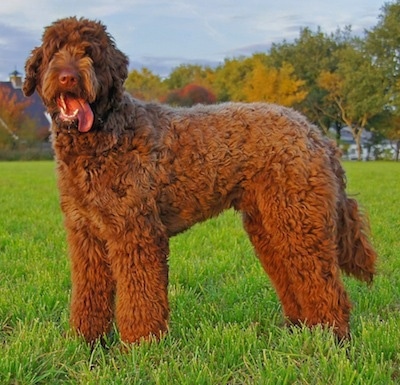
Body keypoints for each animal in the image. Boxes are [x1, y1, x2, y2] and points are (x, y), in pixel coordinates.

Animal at [23, 16, 376, 344]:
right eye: (54, 51)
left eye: (90, 53)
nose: (68, 76)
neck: (102, 135)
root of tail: (316, 133)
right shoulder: (87, 235)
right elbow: (89, 293)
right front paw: (87, 341)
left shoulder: (136, 232)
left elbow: (140, 297)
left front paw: (140, 346)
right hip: (271, 226)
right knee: (294, 277)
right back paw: (300, 330)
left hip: (299, 221)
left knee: (325, 285)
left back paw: (330, 337)